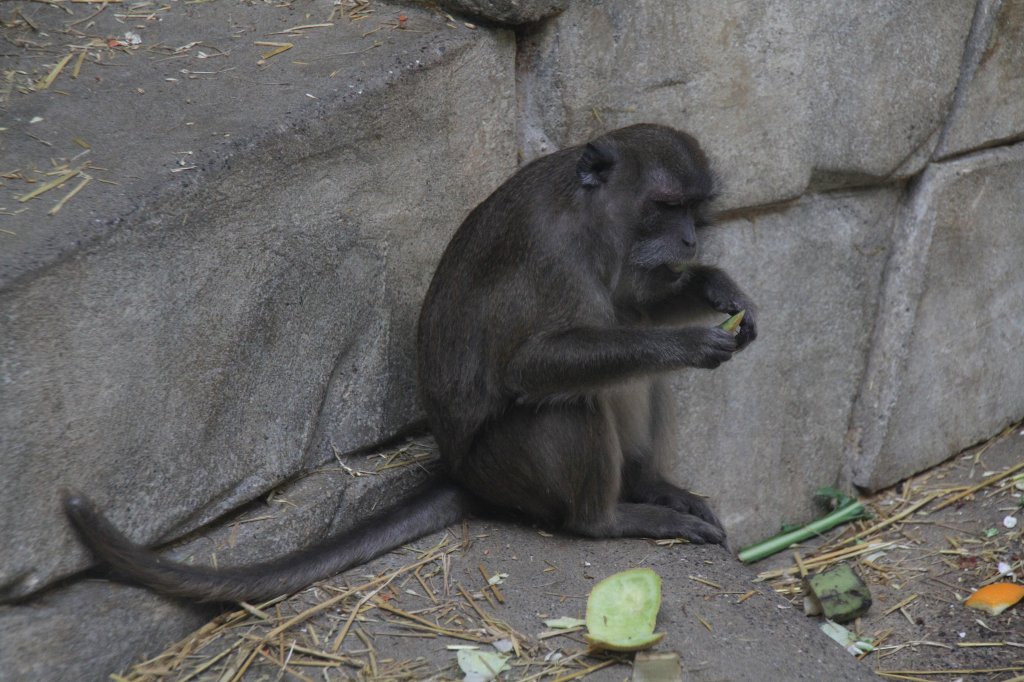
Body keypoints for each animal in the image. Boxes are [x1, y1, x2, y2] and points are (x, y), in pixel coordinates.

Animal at [61, 123, 753, 602]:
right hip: (505, 463)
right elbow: (532, 365)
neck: (590, 217)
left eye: (694, 207)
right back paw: (607, 519)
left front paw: (719, 290)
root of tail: (466, 475)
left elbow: (635, 305)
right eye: (666, 205)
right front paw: (691, 345)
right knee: (570, 399)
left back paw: (646, 484)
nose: (691, 238)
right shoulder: (552, 252)